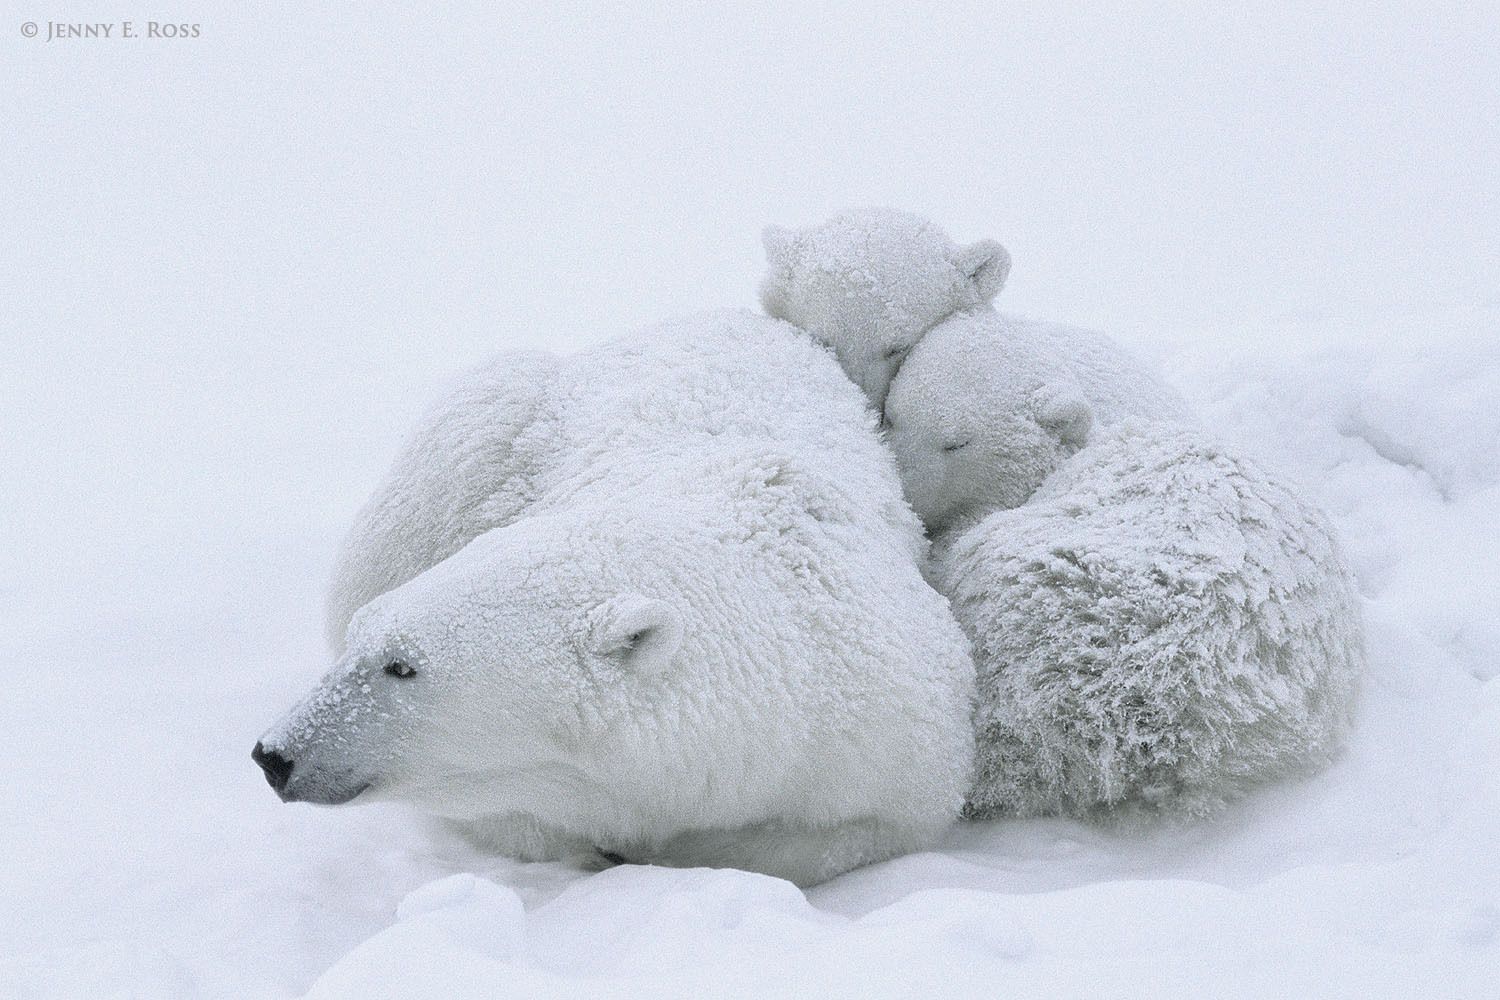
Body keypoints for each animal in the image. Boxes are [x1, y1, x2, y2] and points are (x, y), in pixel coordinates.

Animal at [258, 309, 976, 886]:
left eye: (402, 666)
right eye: (364, 640)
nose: (274, 754)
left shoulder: (888, 733)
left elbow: (848, 834)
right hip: (476, 440)